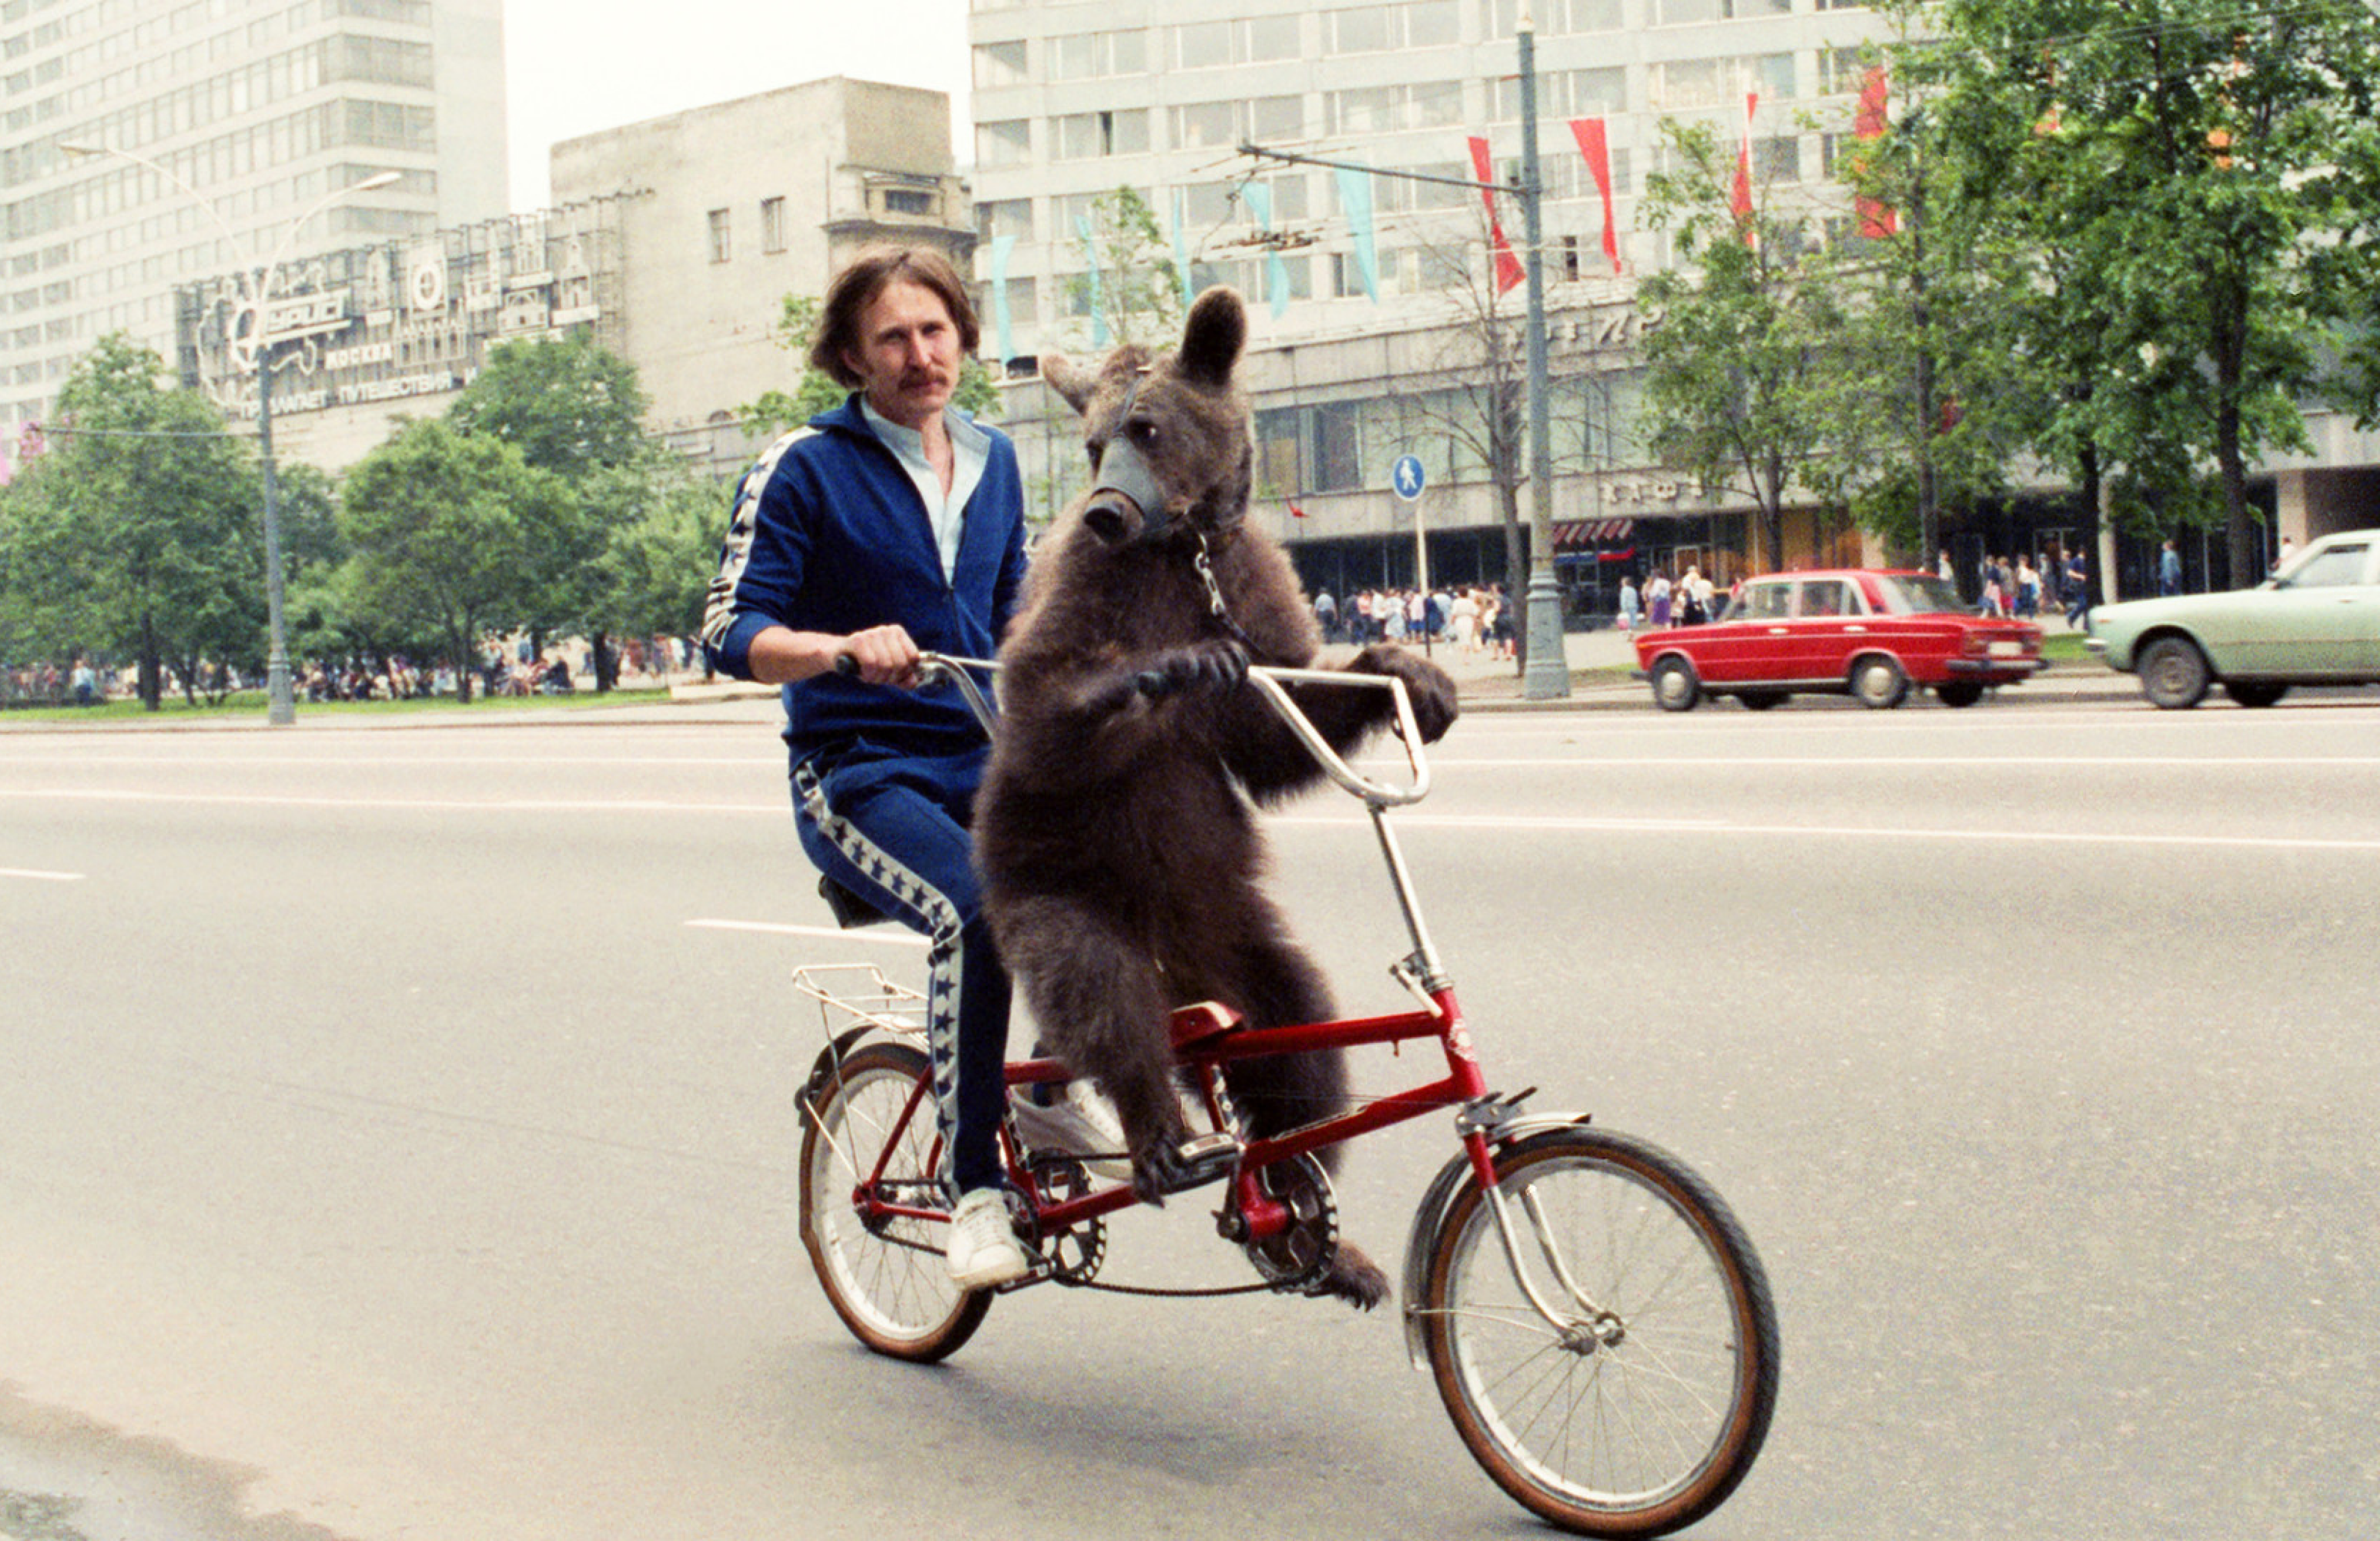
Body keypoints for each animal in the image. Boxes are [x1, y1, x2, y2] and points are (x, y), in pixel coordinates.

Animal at [976, 289, 1456, 1314]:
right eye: (1092, 442)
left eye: (1149, 428)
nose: (1109, 510)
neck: (1181, 549)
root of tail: (1176, 966)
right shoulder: (1085, 589)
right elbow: (1041, 700)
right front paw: (1157, 672)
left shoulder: (1250, 586)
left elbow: (1277, 733)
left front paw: (1412, 676)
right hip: (1052, 886)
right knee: (1098, 991)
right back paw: (1159, 1135)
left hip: (1235, 934)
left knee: (1300, 1048)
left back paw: (1323, 1241)